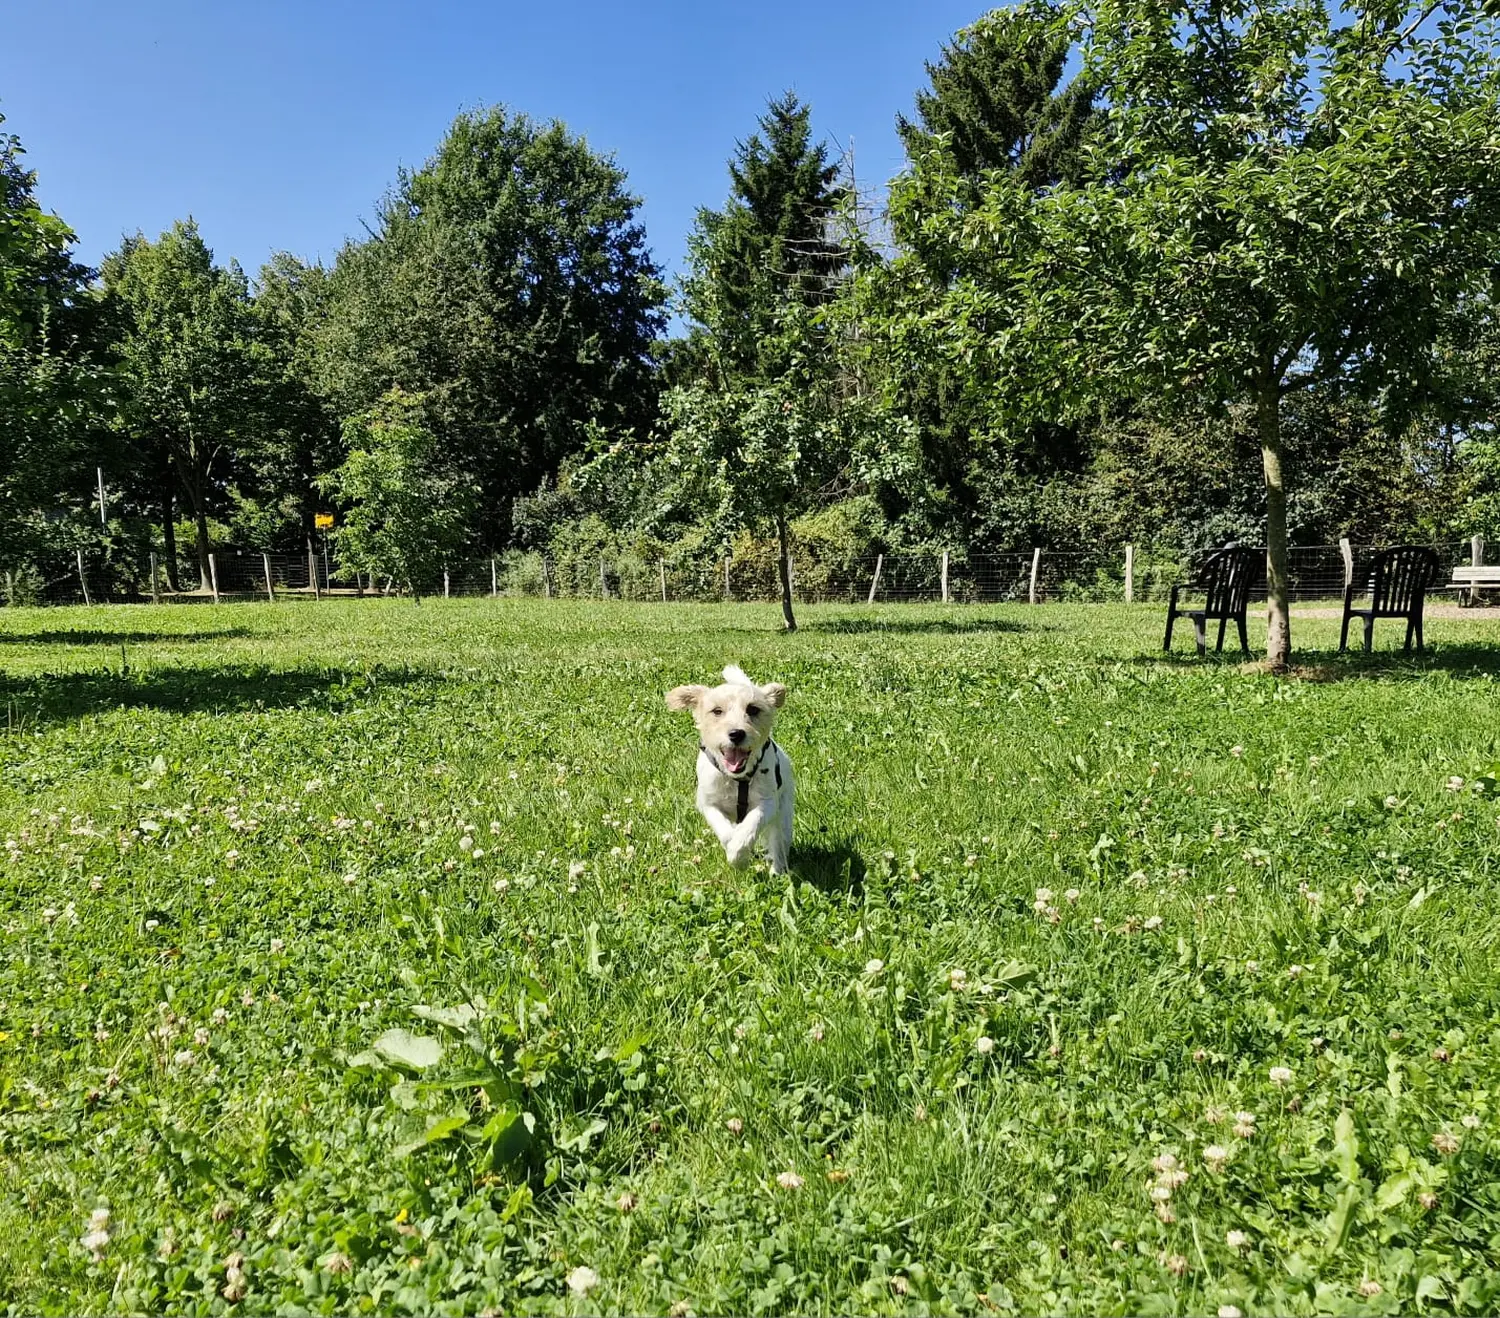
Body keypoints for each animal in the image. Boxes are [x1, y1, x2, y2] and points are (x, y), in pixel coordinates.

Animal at [663, 665, 792, 869]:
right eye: (717, 711)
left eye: (753, 709)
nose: (736, 733)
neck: (737, 780)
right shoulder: (708, 803)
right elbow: (724, 830)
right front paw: (734, 848)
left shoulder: (768, 802)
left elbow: (752, 824)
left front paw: (738, 855)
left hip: (784, 814)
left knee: (779, 842)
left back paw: (777, 870)